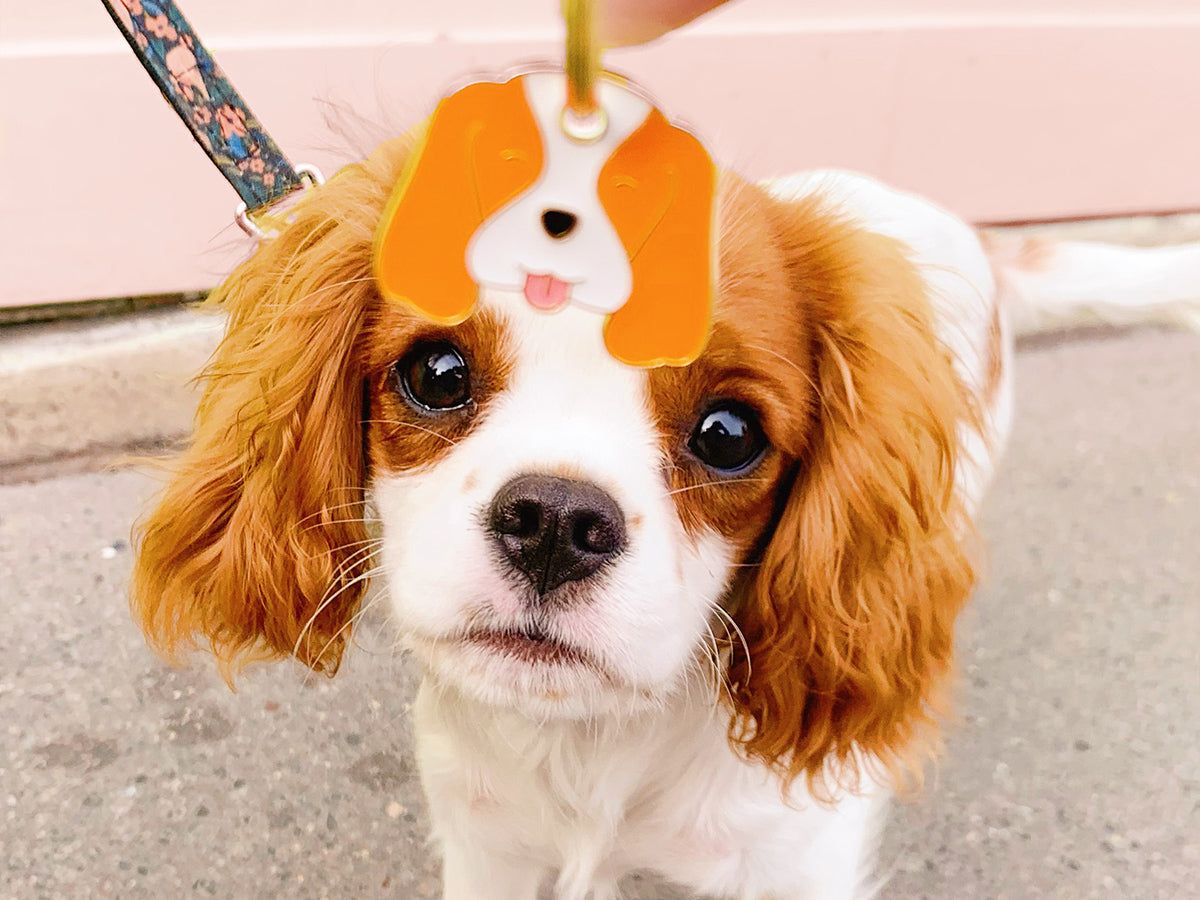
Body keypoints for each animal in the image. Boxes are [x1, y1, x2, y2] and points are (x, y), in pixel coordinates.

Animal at [131, 72, 1200, 900]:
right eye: (435, 372)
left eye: (729, 436)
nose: (555, 521)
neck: (590, 745)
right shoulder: (487, 848)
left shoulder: (792, 866)